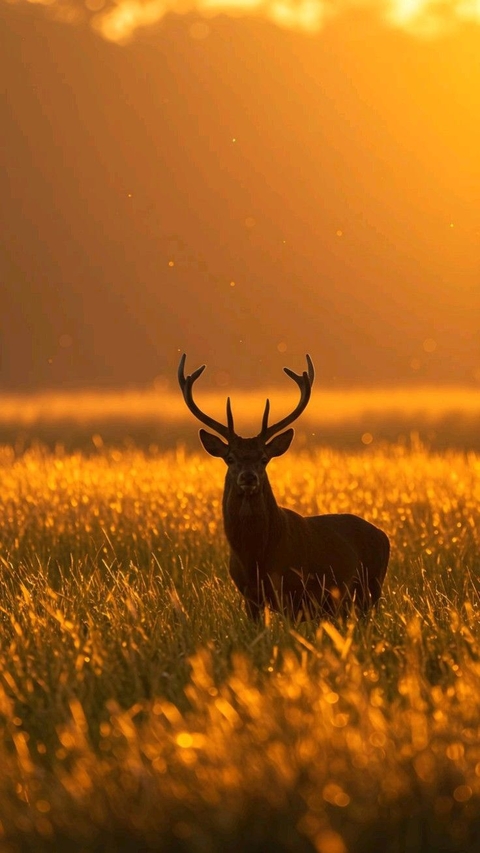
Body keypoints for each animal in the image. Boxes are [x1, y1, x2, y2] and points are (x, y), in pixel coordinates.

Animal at [178, 353, 390, 622]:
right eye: (230, 458)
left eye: (263, 458)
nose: (249, 477)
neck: (254, 556)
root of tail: (384, 536)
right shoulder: (249, 594)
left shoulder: (291, 588)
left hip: (371, 588)